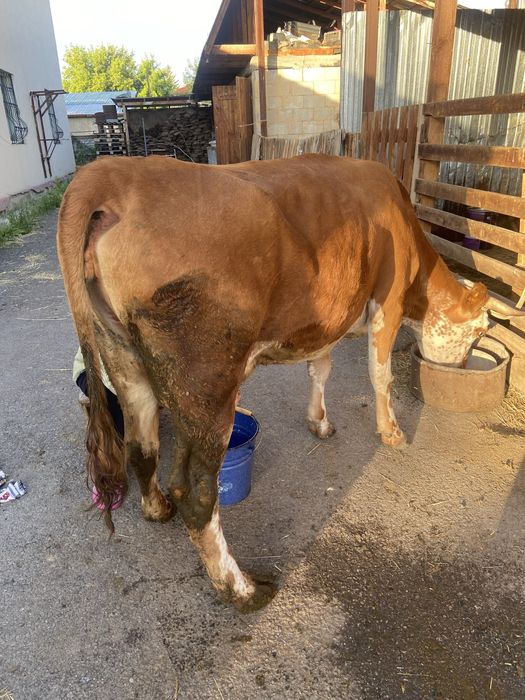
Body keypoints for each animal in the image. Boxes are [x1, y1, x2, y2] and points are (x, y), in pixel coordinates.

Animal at [57, 154, 522, 611]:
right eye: (481, 330)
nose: (464, 364)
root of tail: (114, 171)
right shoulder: (386, 303)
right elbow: (380, 375)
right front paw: (391, 432)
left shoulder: (328, 315)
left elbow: (321, 368)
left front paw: (319, 421)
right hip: (207, 384)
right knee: (197, 492)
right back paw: (242, 590)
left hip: (121, 354)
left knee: (141, 447)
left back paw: (157, 509)